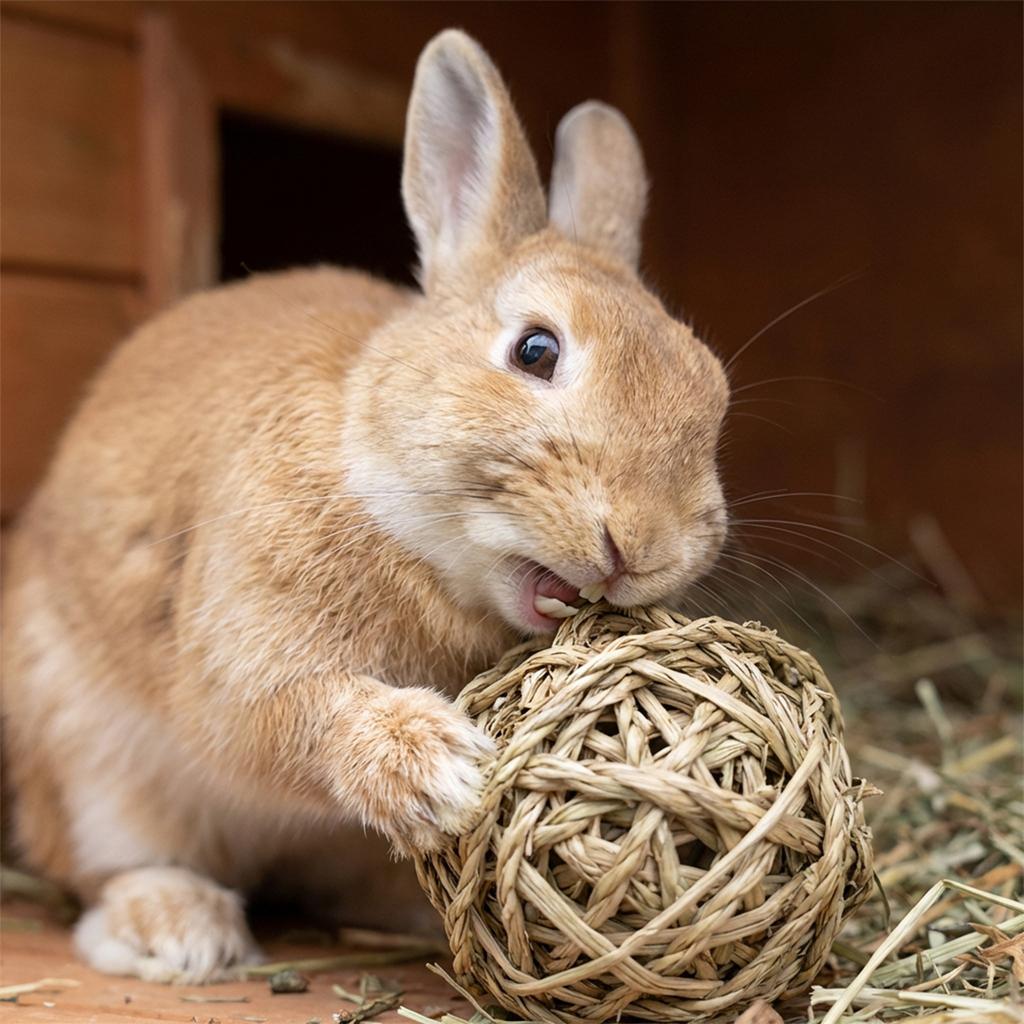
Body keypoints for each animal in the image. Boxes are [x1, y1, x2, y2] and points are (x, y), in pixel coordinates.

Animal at [1, 29, 729, 983]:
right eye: (536, 350)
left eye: (713, 392)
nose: (640, 545)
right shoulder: (236, 656)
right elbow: (271, 718)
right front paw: (441, 770)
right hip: (87, 765)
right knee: (104, 865)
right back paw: (176, 928)